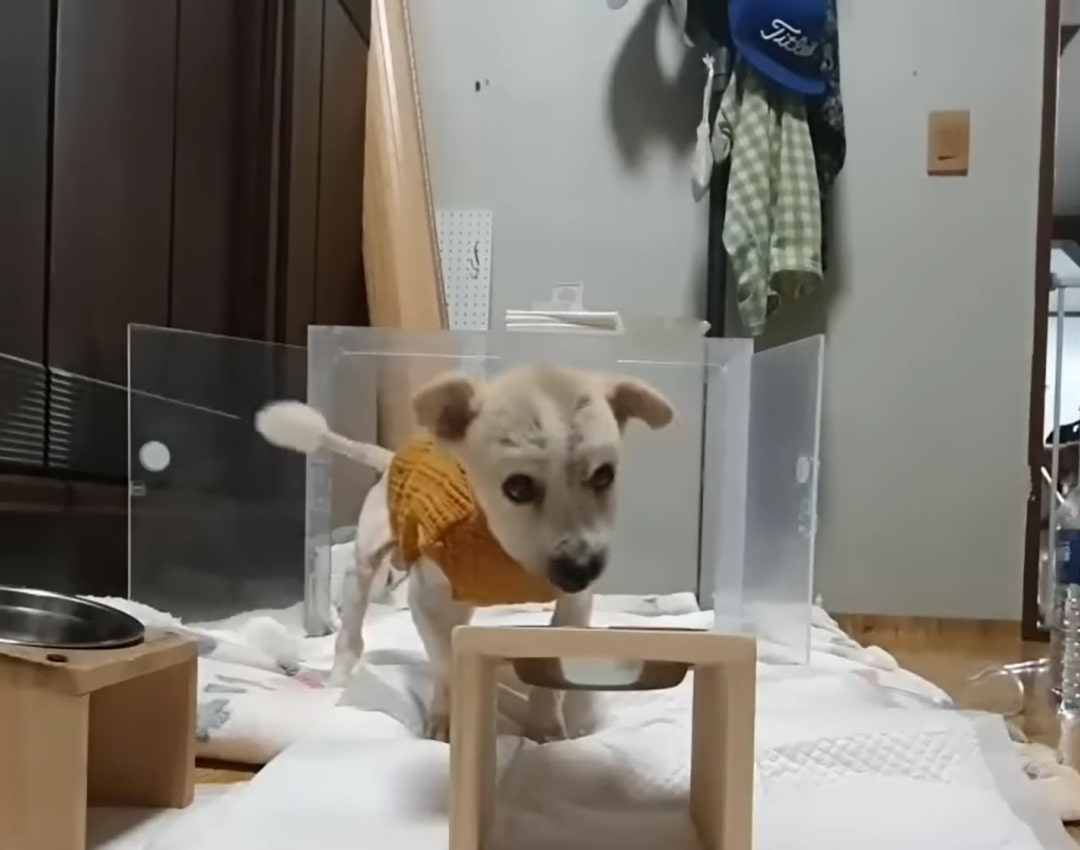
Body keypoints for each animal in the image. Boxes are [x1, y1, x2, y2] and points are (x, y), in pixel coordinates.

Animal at [255, 369, 669, 743]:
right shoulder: (427, 599)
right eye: (518, 487)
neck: (502, 549)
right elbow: (444, 662)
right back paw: (337, 679)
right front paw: (448, 721)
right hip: (364, 565)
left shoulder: (575, 604)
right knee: (351, 634)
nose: (581, 569)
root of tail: (391, 458)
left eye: (604, 476)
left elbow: (551, 668)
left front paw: (546, 728)